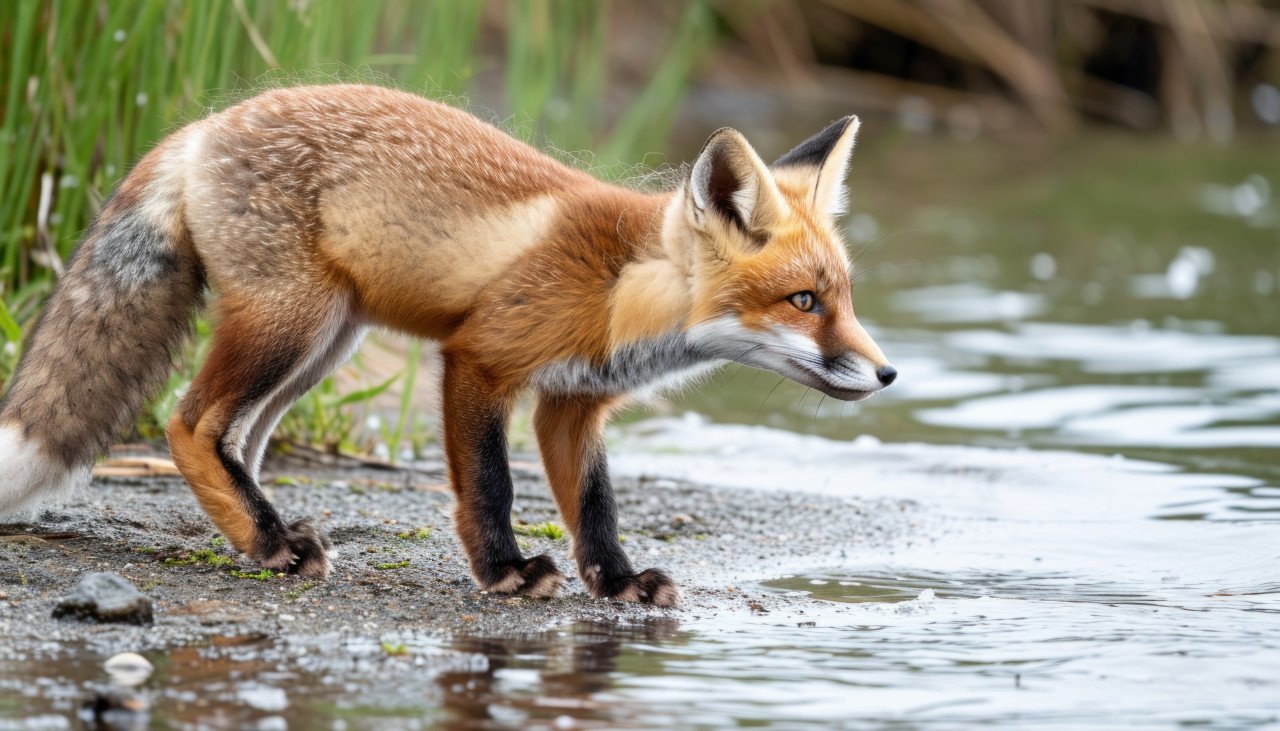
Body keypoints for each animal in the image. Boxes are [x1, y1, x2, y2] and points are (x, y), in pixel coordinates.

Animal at [0, 85, 895, 606]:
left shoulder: (573, 403)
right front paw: (505, 570)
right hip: (292, 324)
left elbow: (596, 507)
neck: (618, 288)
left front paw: (616, 580)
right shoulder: (479, 359)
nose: (888, 373)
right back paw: (267, 539)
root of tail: (203, 125)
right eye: (803, 301)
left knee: (236, 437)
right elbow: (491, 485)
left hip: (324, 342)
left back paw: (261, 536)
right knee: (190, 423)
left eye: (845, 298)